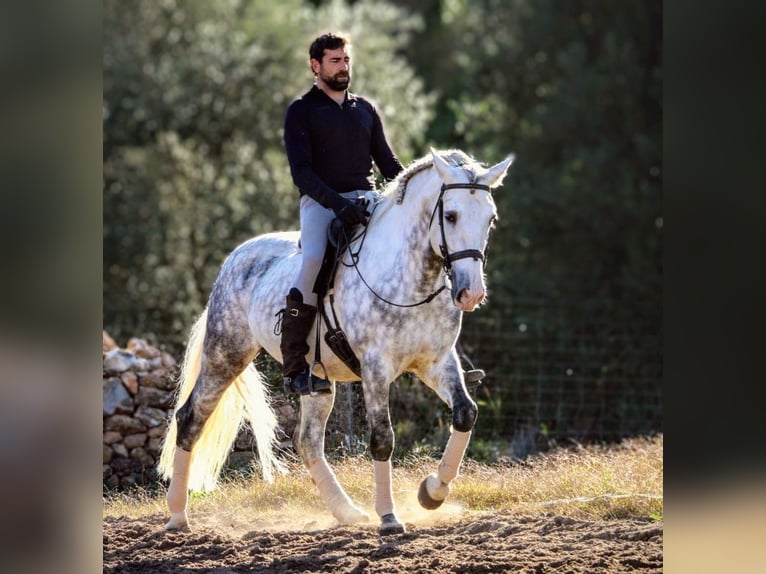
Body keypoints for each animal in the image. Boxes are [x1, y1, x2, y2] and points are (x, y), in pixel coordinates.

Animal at [158, 148, 515, 536]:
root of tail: (233, 260)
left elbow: (466, 413)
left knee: (308, 441)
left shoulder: (437, 362)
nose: (470, 293)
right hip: (226, 355)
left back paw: (348, 512)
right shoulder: (375, 368)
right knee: (190, 418)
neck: (411, 280)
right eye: (450, 216)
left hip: (317, 380)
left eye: (491, 219)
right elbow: (382, 438)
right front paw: (389, 517)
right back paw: (177, 515)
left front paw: (432, 493)